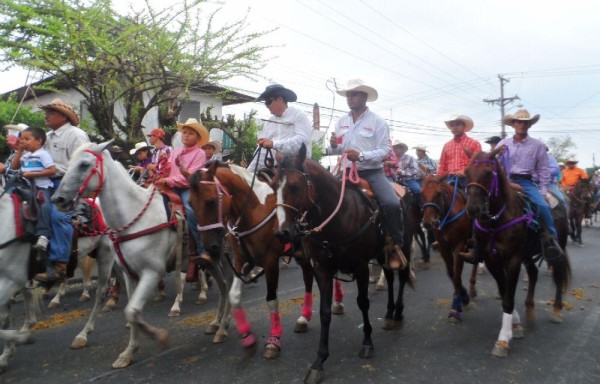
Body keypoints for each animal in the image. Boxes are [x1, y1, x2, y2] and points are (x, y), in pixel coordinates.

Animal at [49, 142, 230, 368]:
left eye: (84, 164)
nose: (58, 199)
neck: (134, 219)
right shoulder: (130, 274)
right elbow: (131, 310)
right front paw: (128, 352)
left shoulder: (152, 272)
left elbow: (132, 310)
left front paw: (159, 336)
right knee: (223, 287)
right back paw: (216, 324)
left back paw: (221, 326)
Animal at [189, 159, 318, 360]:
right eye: (190, 203)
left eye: (210, 201)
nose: (210, 247)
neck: (254, 211)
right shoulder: (240, 261)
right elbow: (233, 296)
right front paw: (248, 339)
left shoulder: (271, 262)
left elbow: (272, 300)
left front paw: (273, 341)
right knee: (308, 277)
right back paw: (304, 318)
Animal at [272, 145, 412, 384]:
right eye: (273, 185)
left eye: (295, 185)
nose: (282, 233)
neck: (339, 216)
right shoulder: (322, 269)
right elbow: (325, 312)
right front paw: (319, 361)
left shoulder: (361, 266)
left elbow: (363, 302)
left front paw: (367, 343)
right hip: (382, 254)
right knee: (390, 276)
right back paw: (388, 315)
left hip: (405, 245)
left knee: (401, 276)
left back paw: (398, 313)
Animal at [420, 174, 480, 320]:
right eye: (421, 193)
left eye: (438, 193)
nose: (428, 223)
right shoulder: (444, 247)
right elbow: (452, 274)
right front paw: (462, 295)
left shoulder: (460, 246)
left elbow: (457, 275)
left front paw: (457, 306)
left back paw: (472, 288)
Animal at [464, 148, 572, 358]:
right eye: (466, 173)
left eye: (488, 173)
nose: (473, 209)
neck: (497, 220)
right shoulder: (491, 260)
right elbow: (504, 290)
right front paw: (516, 324)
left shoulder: (513, 259)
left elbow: (508, 298)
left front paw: (503, 339)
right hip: (528, 255)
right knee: (533, 274)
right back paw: (530, 310)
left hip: (558, 247)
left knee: (558, 275)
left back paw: (556, 310)